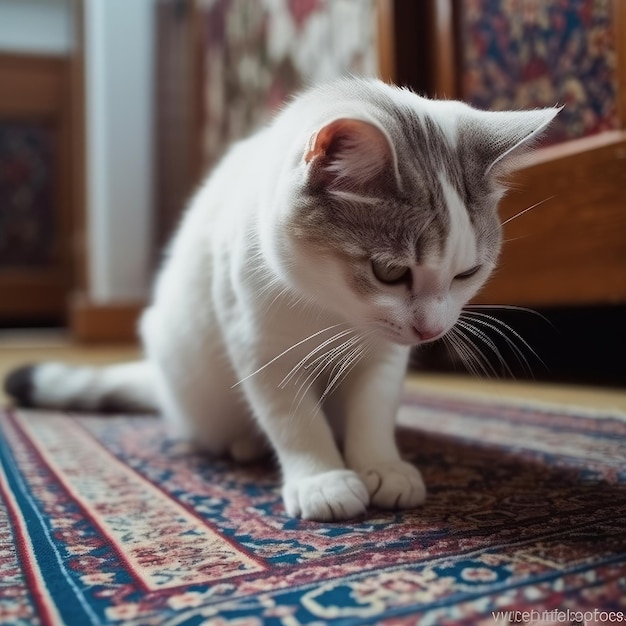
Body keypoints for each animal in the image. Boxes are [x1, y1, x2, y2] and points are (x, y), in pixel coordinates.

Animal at [4, 78, 556, 520]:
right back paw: (246, 444)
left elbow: (373, 411)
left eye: (467, 272)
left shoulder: (383, 357)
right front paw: (322, 481)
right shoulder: (261, 348)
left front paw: (382, 467)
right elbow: (294, 421)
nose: (432, 330)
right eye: (390, 272)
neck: (331, 310)